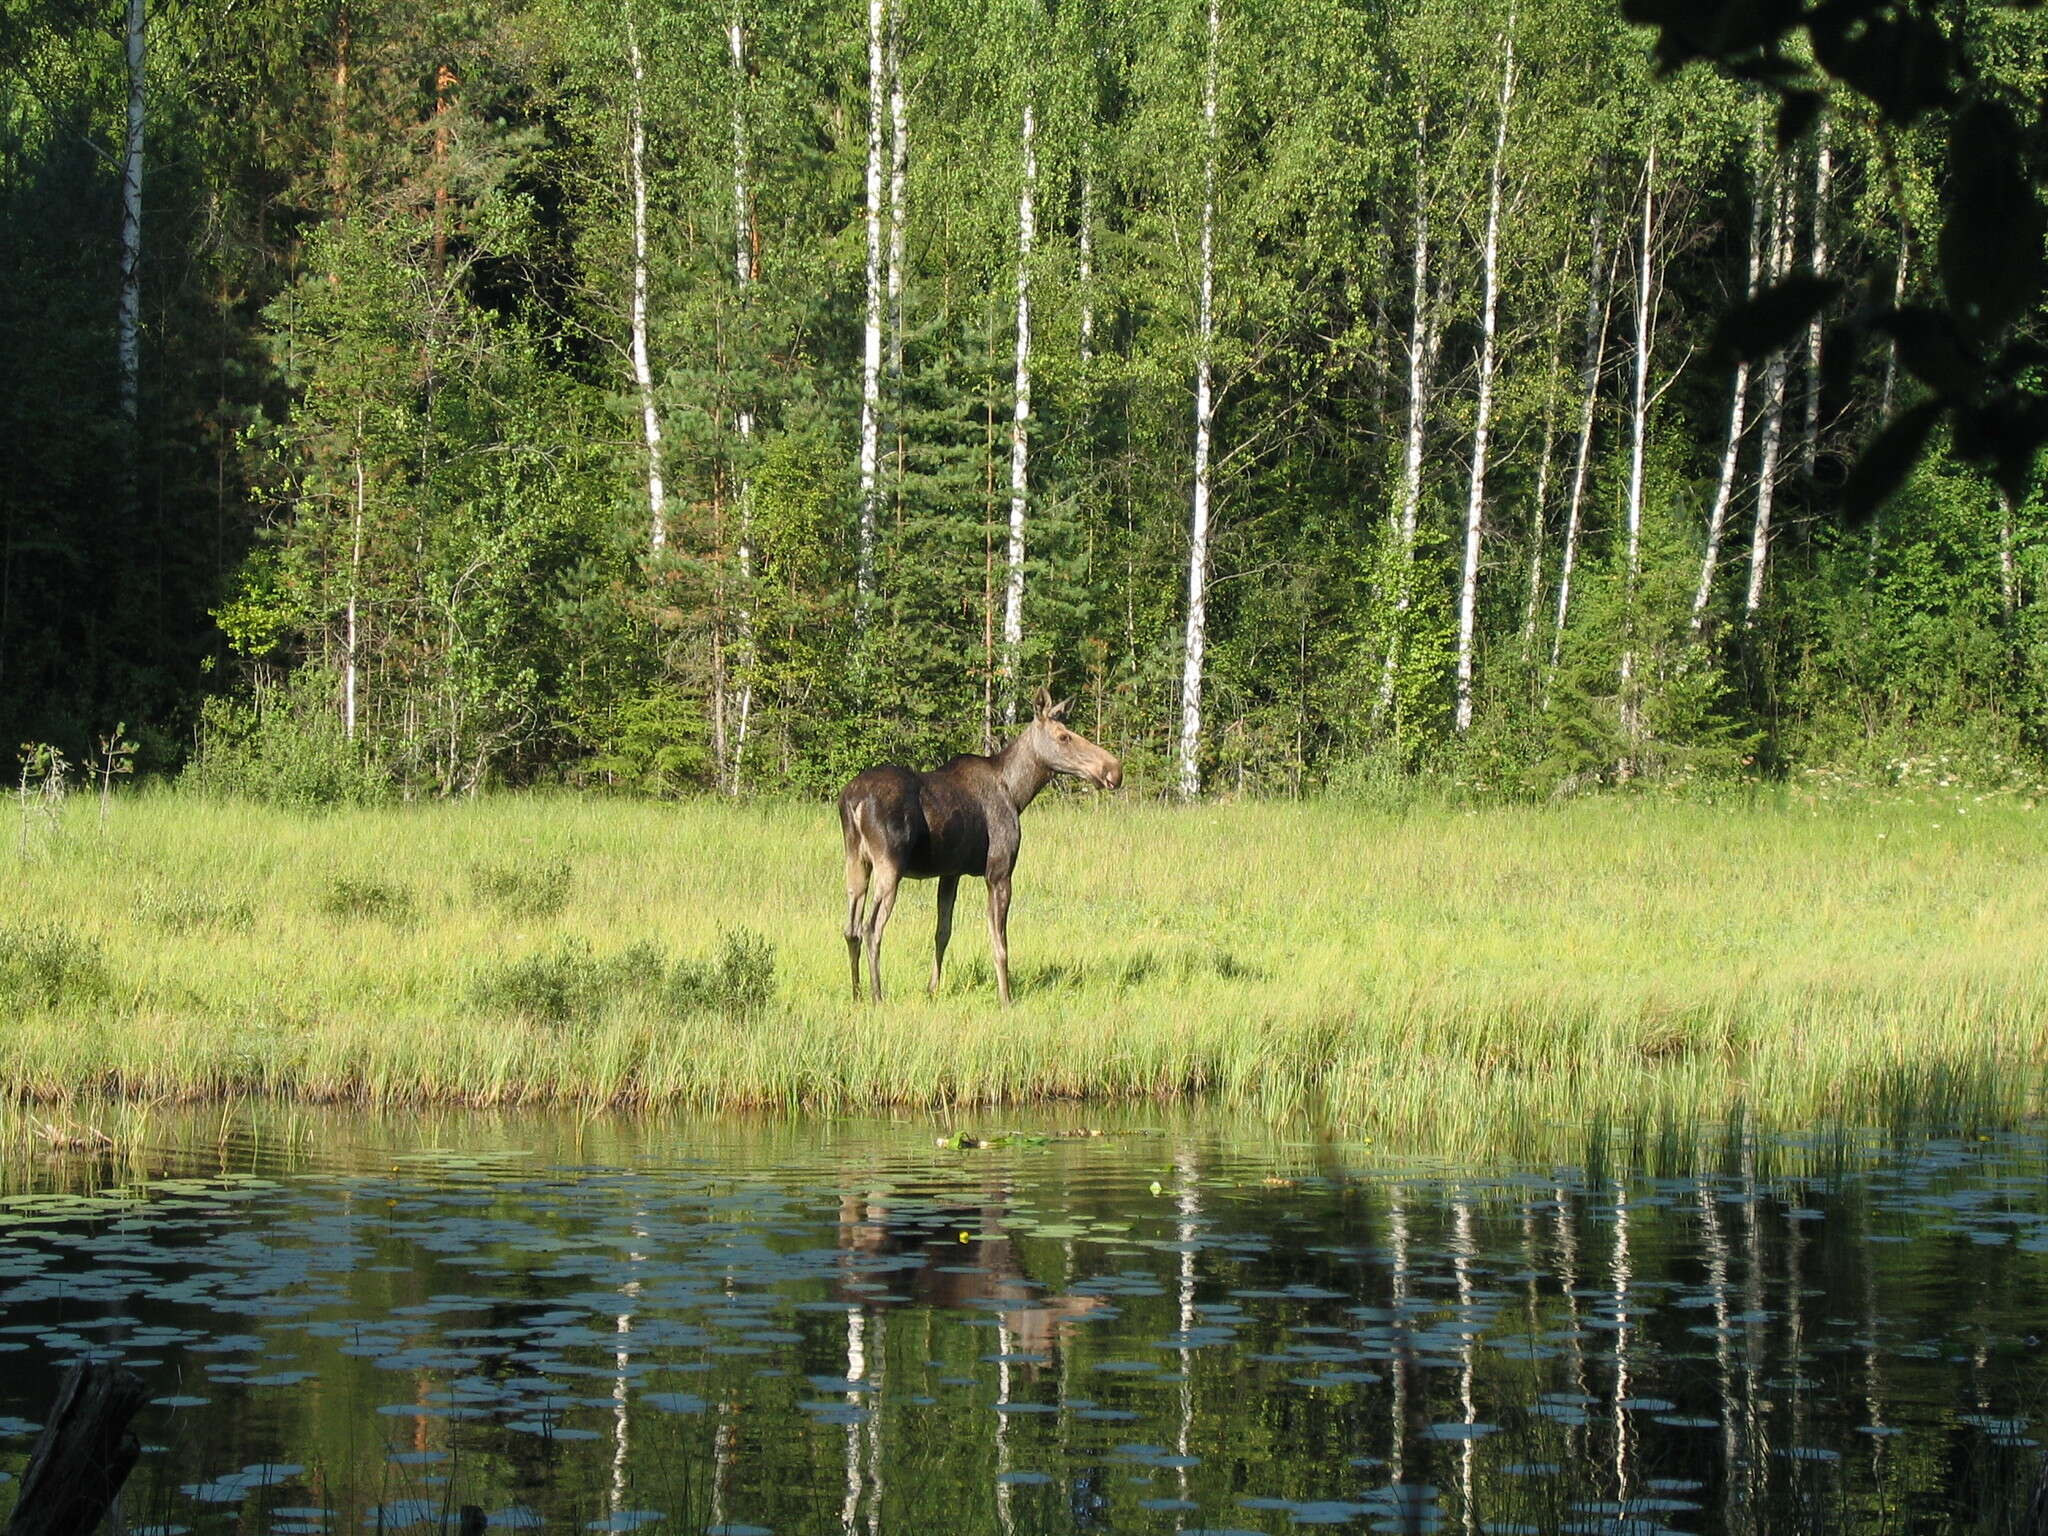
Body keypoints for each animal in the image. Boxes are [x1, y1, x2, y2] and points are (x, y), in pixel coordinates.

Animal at [835, 688, 1122, 1011]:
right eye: (1064, 736)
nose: (1113, 770)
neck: (1018, 792)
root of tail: (852, 801)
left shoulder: (950, 873)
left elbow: (942, 932)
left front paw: (932, 989)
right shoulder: (999, 872)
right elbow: (1000, 944)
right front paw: (1006, 999)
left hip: (856, 862)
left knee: (850, 929)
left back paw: (856, 994)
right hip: (889, 865)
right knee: (871, 928)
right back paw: (877, 997)